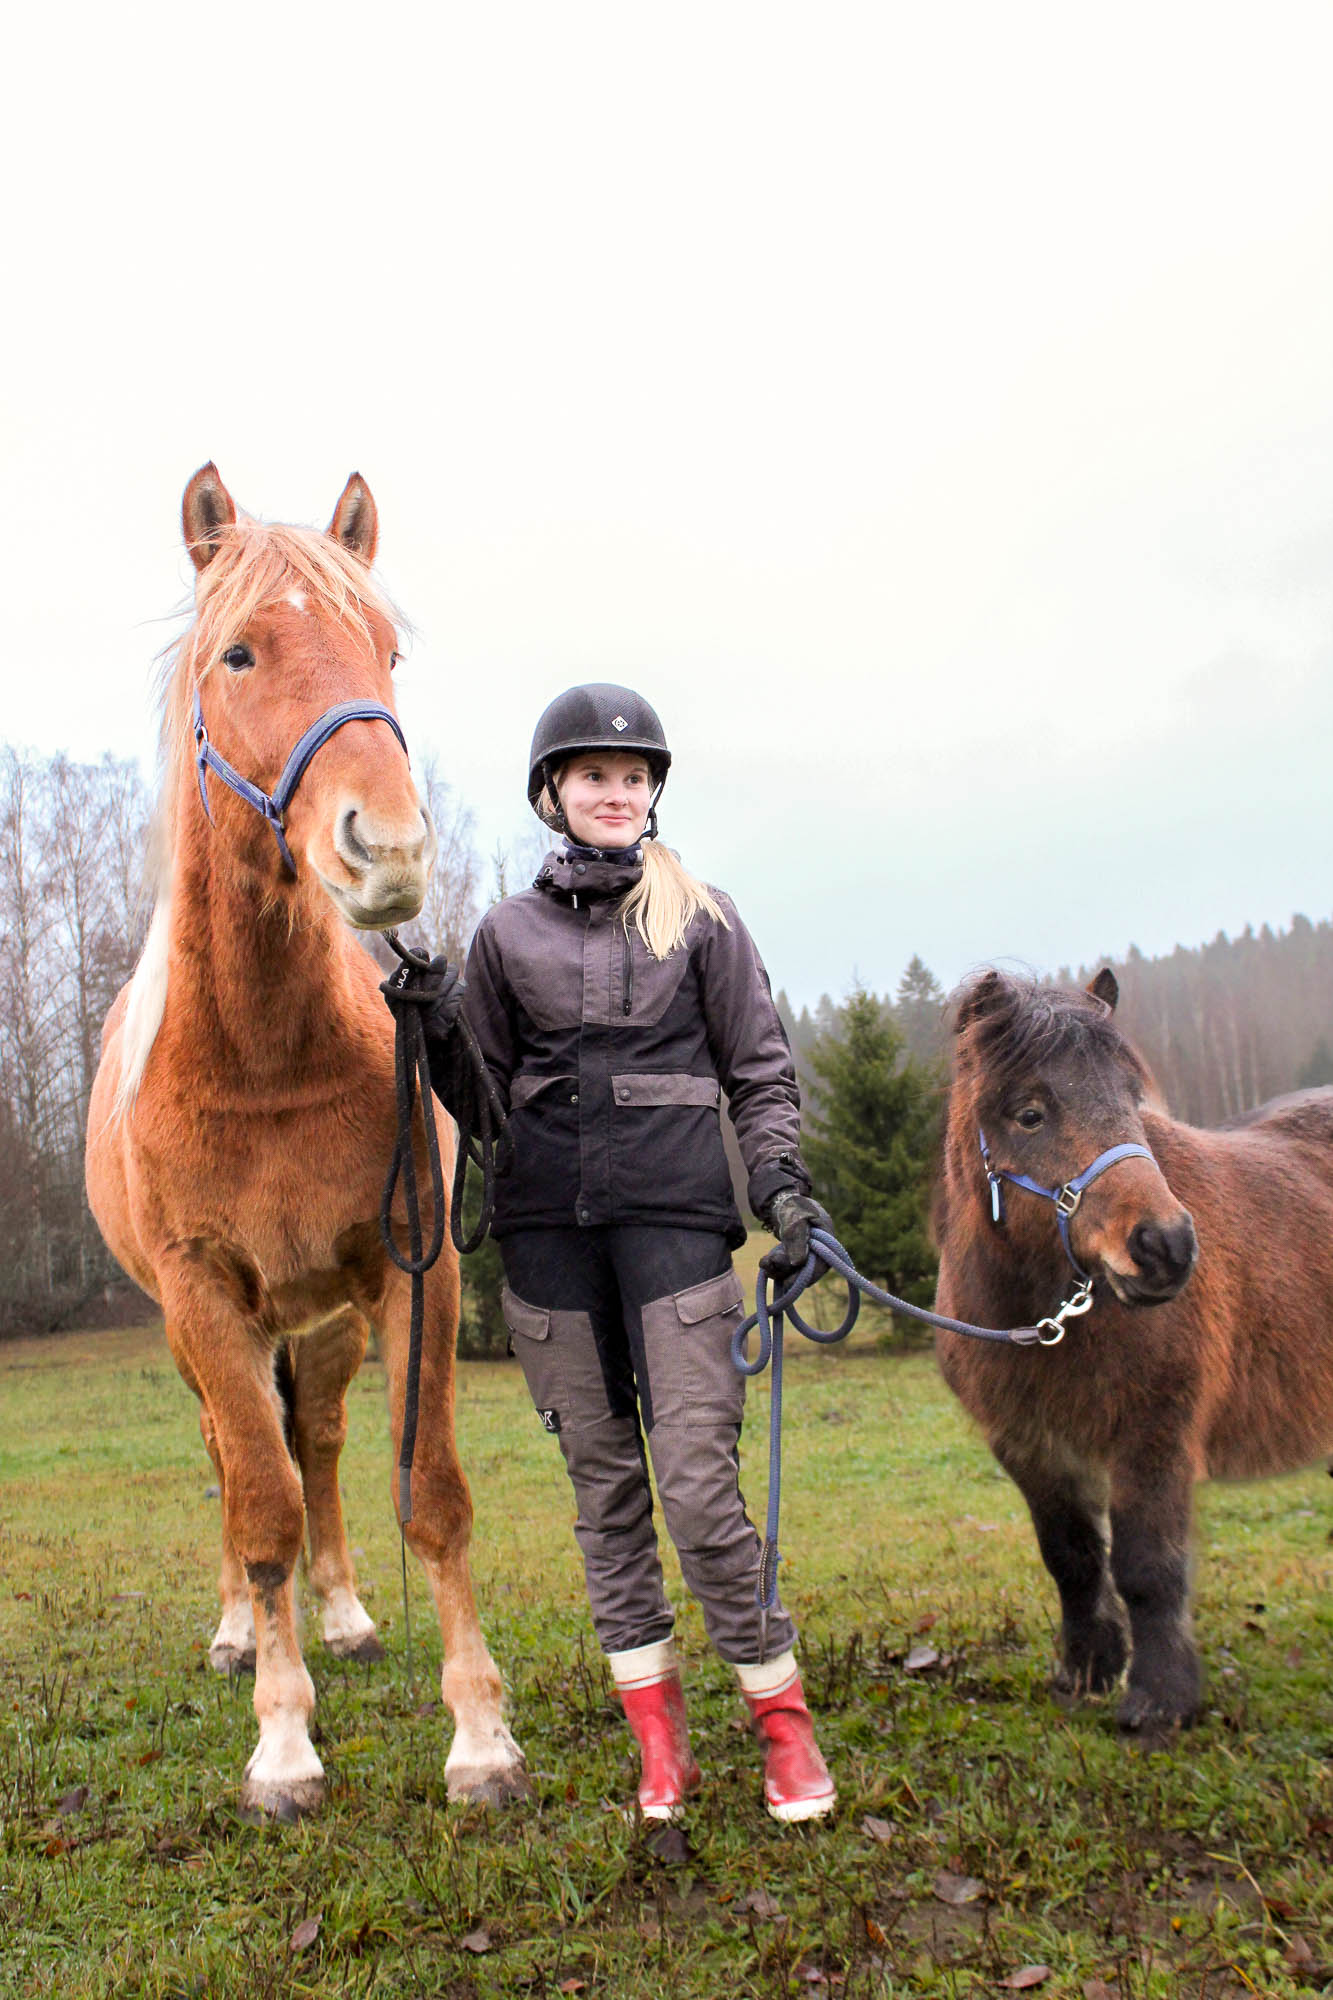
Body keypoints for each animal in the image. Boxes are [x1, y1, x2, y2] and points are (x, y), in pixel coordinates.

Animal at [84, 464, 524, 1816]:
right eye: (239, 651)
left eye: (386, 649)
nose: (387, 846)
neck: (262, 1053)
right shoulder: (203, 1298)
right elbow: (261, 1507)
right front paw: (282, 1742)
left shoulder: (411, 1271)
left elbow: (425, 1489)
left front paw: (479, 1734)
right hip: (204, 1340)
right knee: (240, 1469)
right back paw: (243, 1632)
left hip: (324, 1324)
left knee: (319, 1445)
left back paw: (342, 1615)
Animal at [928, 968, 1328, 1736]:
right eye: (1029, 1113)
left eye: (1129, 1101)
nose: (1165, 1247)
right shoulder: (1027, 1443)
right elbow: (1072, 1556)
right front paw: (1086, 1669)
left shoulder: (1154, 1436)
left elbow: (1148, 1567)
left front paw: (1159, 1700)